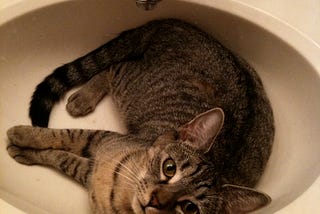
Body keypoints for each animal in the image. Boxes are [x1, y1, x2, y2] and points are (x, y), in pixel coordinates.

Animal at [6, 18, 274, 214]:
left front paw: (24, 150)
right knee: (111, 67)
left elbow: (63, 158)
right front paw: (23, 135)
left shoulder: (89, 169)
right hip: (129, 84)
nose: (155, 200)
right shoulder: (102, 139)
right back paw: (83, 98)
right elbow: (64, 136)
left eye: (190, 208)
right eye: (169, 168)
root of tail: (169, 22)